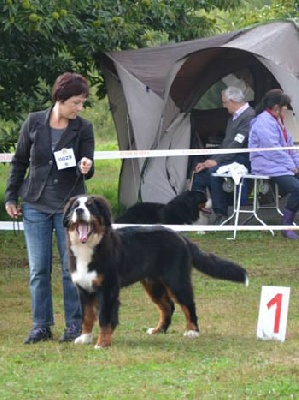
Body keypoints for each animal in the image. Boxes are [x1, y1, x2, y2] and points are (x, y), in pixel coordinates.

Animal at [64, 195, 250, 348]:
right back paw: (158, 330)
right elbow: (87, 316)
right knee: (168, 306)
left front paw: (102, 343)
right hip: (153, 283)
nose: (79, 211)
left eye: (90, 207)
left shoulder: (107, 289)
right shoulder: (83, 289)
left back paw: (192, 331)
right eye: (75, 206)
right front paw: (85, 338)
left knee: (188, 304)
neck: (89, 249)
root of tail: (181, 237)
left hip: (176, 280)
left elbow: (104, 318)